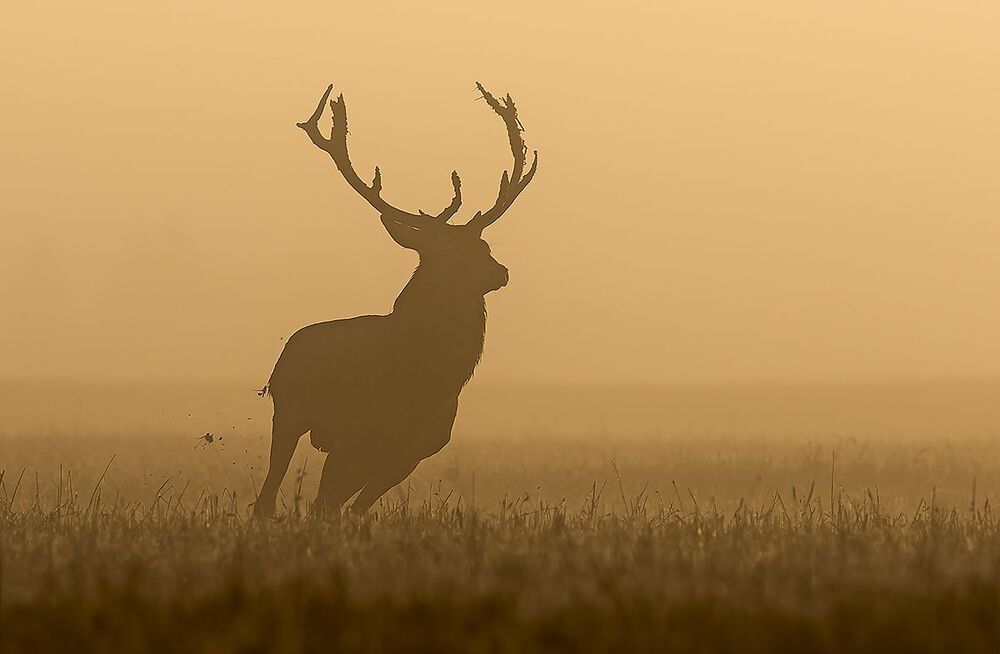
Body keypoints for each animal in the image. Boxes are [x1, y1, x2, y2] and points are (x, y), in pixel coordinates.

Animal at [253, 82, 538, 518]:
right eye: (444, 254)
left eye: (484, 245)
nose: (500, 272)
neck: (424, 383)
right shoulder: (353, 432)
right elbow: (325, 506)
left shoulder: (411, 450)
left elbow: (353, 508)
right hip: (289, 410)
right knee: (268, 496)